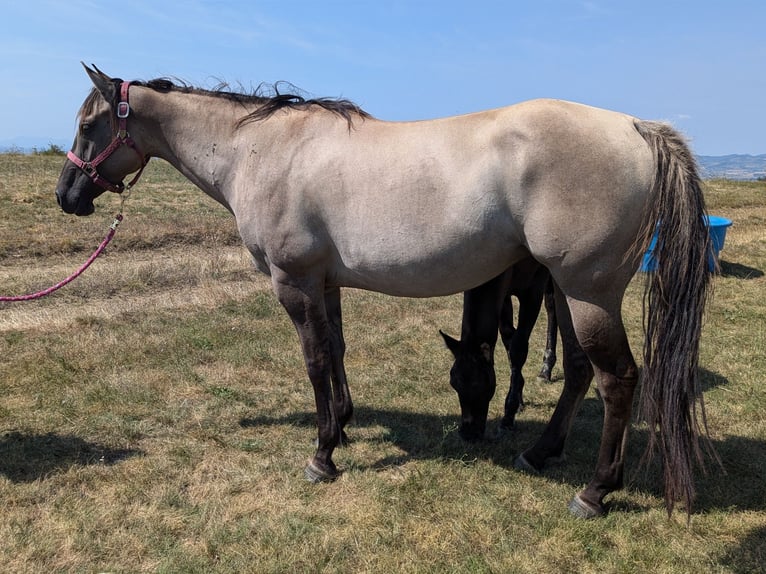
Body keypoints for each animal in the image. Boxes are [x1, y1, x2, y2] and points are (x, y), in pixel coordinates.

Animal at [440, 256, 556, 440]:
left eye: (480, 384)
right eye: (453, 384)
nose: (468, 433)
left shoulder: (533, 289)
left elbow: (518, 347)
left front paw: (508, 417)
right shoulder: (503, 293)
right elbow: (508, 336)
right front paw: (518, 398)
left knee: (551, 304)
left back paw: (546, 368)